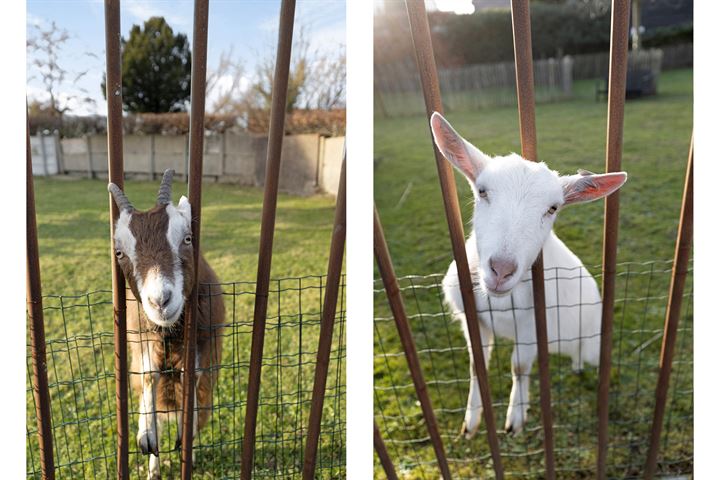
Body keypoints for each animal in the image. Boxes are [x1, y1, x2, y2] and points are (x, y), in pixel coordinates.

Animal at [107, 171, 222, 478]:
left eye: (187, 238)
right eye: (119, 253)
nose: (160, 301)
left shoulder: (203, 339)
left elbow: (191, 375)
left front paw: (186, 431)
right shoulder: (142, 337)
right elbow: (149, 376)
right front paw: (146, 436)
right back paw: (154, 468)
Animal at [430, 111, 628, 436]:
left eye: (553, 208)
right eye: (481, 191)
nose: (501, 270)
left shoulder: (533, 327)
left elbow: (519, 367)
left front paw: (515, 419)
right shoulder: (472, 319)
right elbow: (477, 366)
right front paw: (470, 422)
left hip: (589, 338)